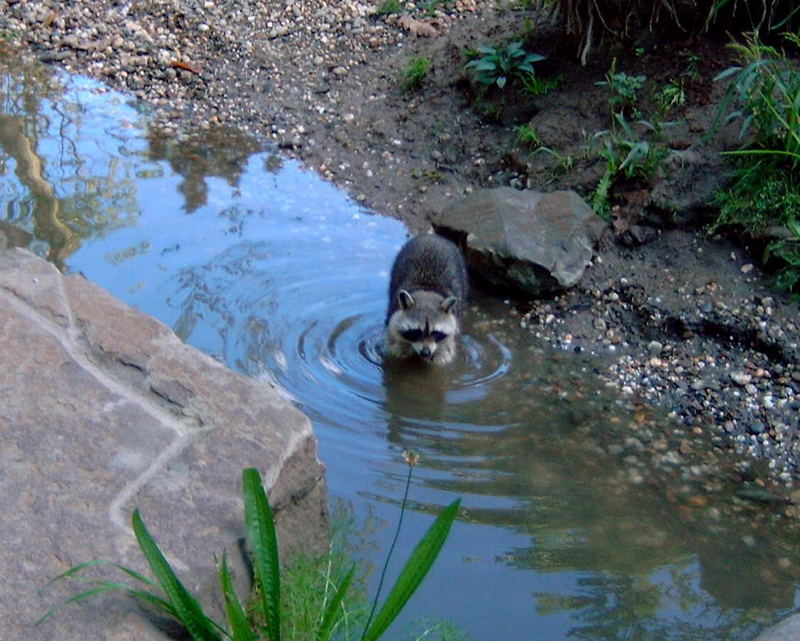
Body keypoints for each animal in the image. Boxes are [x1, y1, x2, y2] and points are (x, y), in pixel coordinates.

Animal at [382, 235, 466, 364]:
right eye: (416, 331)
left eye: (436, 332)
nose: (425, 353)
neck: (427, 291)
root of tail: (432, 236)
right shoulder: (394, 316)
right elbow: (396, 345)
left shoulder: (452, 327)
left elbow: (445, 351)